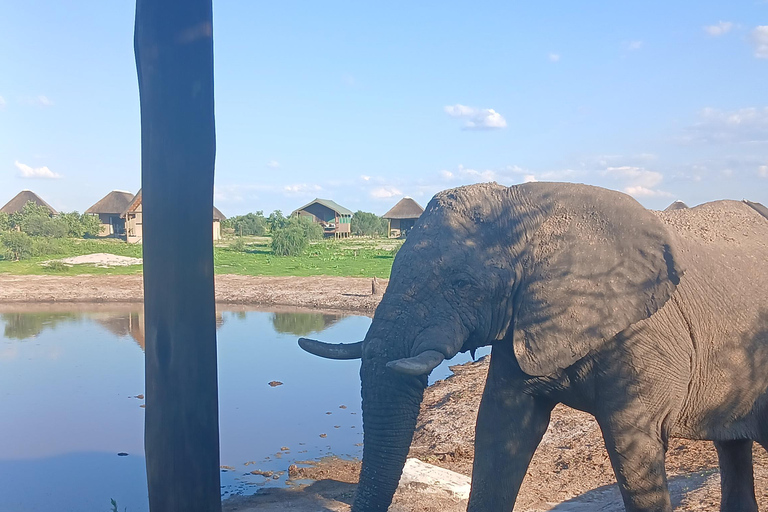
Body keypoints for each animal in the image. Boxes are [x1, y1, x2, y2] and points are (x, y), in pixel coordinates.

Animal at [299, 181, 768, 512]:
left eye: (462, 284)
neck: (527, 211)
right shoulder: (520, 322)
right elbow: (499, 431)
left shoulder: (645, 338)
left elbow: (632, 449)